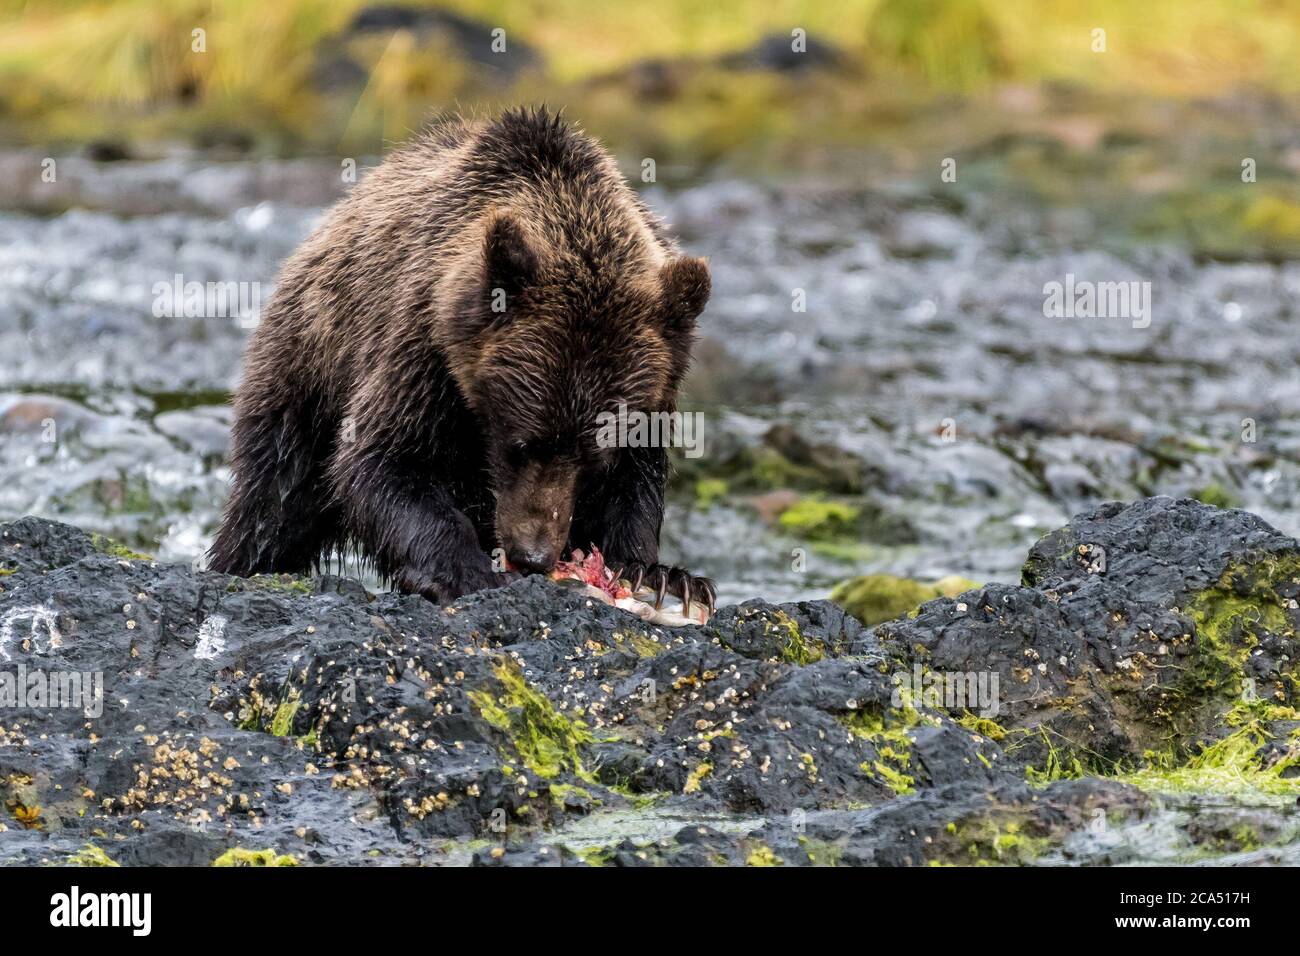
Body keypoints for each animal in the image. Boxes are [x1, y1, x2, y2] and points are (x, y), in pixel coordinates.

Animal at [214, 106, 722, 613]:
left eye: (594, 455)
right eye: (521, 443)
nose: (533, 554)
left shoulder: (658, 387)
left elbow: (635, 483)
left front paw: (660, 575)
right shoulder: (424, 350)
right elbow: (384, 461)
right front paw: (469, 571)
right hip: (307, 371)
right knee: (274, 500)